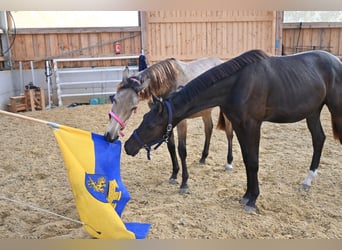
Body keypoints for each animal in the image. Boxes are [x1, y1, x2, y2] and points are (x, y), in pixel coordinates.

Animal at [104, 57, 232, 193]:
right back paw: (203, 158)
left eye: (134, 107)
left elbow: (182, 150)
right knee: (208, 129)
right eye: (114, 99)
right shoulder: (165, 121)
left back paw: (229, 162)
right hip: (205, 112)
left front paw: (184, 183)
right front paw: (174, 175)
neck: (169, 82)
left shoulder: (180, 121)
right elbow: (171, 146)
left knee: (229, 133)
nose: (110, 136)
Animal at [124, 49, 342, 212]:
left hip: (335, 109)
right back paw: (308, 180)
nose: (128, 146)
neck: (238, 84)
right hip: (312, 112)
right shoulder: (239, 125)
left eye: (151, 125)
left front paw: (253, 200)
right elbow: (246, 161)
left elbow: (253, 162)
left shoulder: (252, 125)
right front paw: (246, 195)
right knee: (319, 139)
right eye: (143, 118)